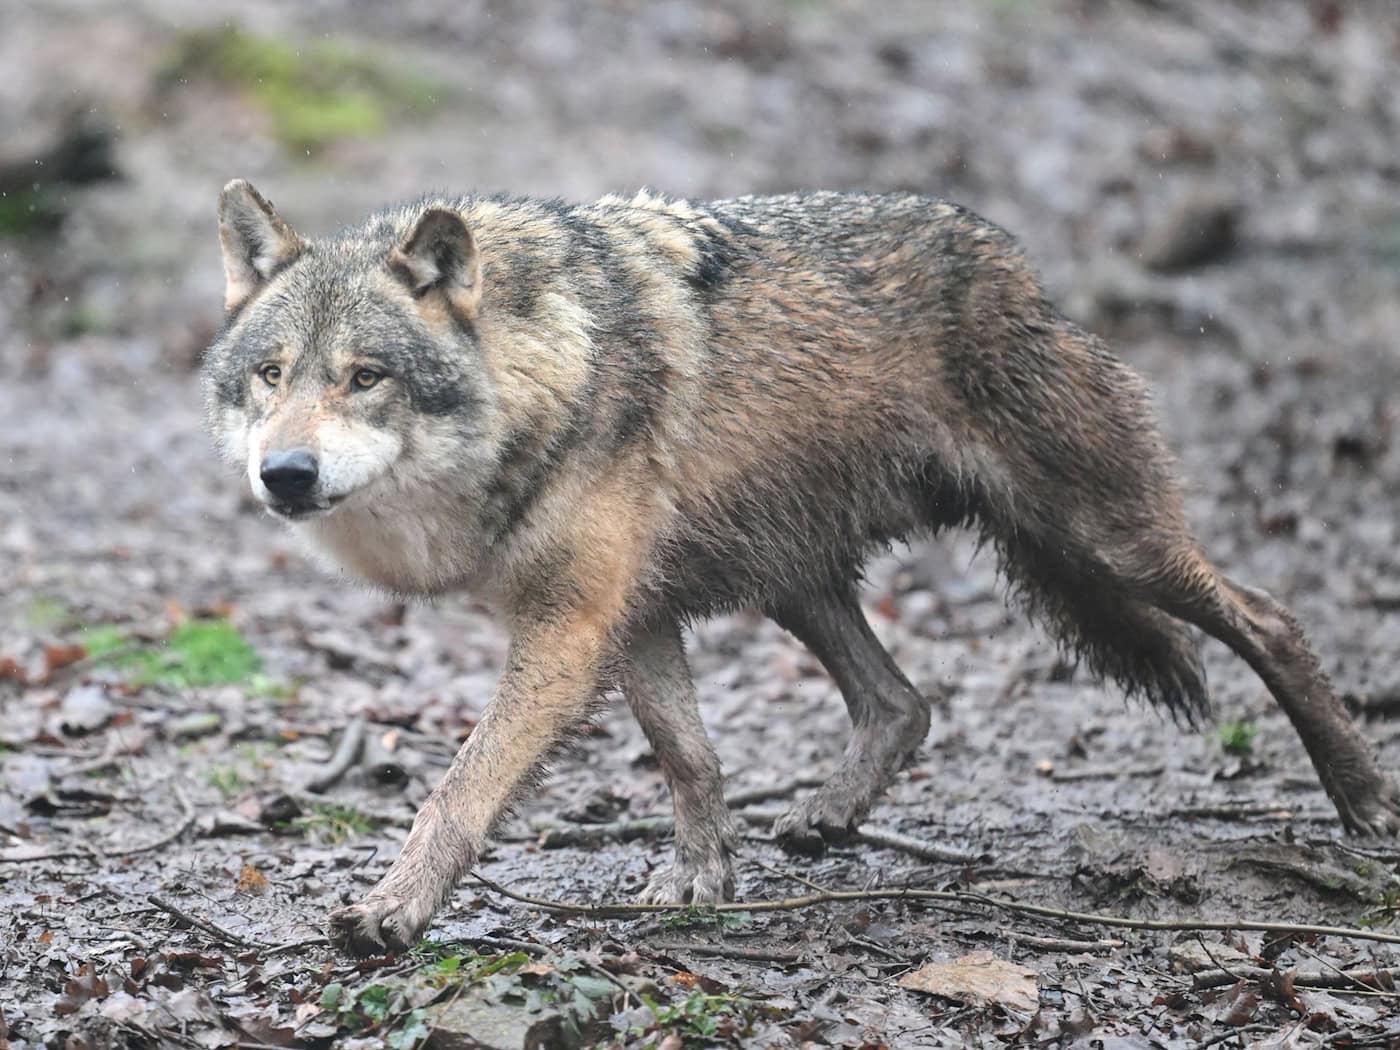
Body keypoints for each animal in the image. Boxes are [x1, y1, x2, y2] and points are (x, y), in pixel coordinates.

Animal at [204, 179, 1399, 955]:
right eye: (271, 375)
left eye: (365, 377)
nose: (286, 474)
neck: (542, 372)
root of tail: (1016, 266)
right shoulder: (631, 616)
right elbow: (690, 758)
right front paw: (701, 878)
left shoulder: (569, 627)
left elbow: (457, 791)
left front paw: (391, 911)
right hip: (795, 578)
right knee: (904, 702)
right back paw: (827, 816)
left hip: (1105, 541)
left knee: (1271, 618)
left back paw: (1361, 803)